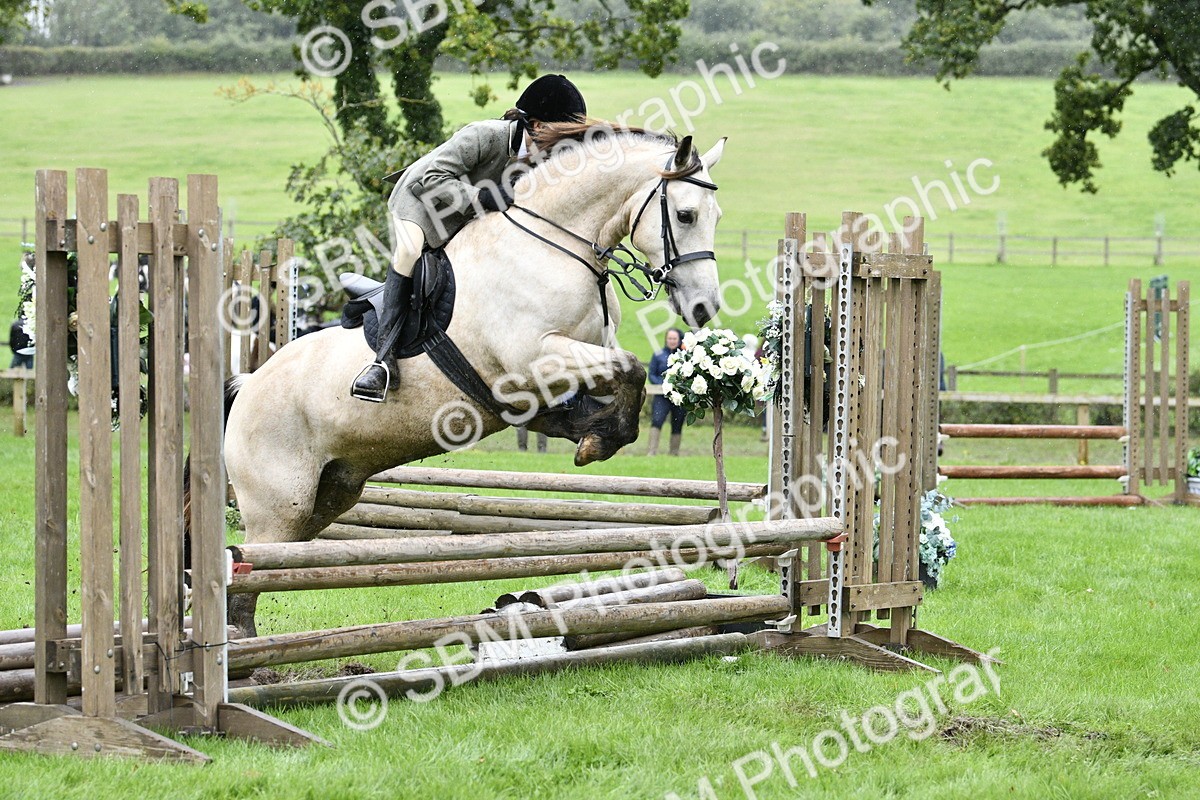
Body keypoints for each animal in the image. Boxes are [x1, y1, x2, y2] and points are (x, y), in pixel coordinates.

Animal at [221, 129, 727, 636]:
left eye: (717, 217)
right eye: (685, 215)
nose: (705, 308)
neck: (554, 244)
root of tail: (248, 386)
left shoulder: (578, 354)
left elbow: (625, 378)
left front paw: (594, 433)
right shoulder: (532, 357)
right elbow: (631, 368)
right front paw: (597, 440)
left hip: (331, 492)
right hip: (279, 506)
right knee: (248, 576)